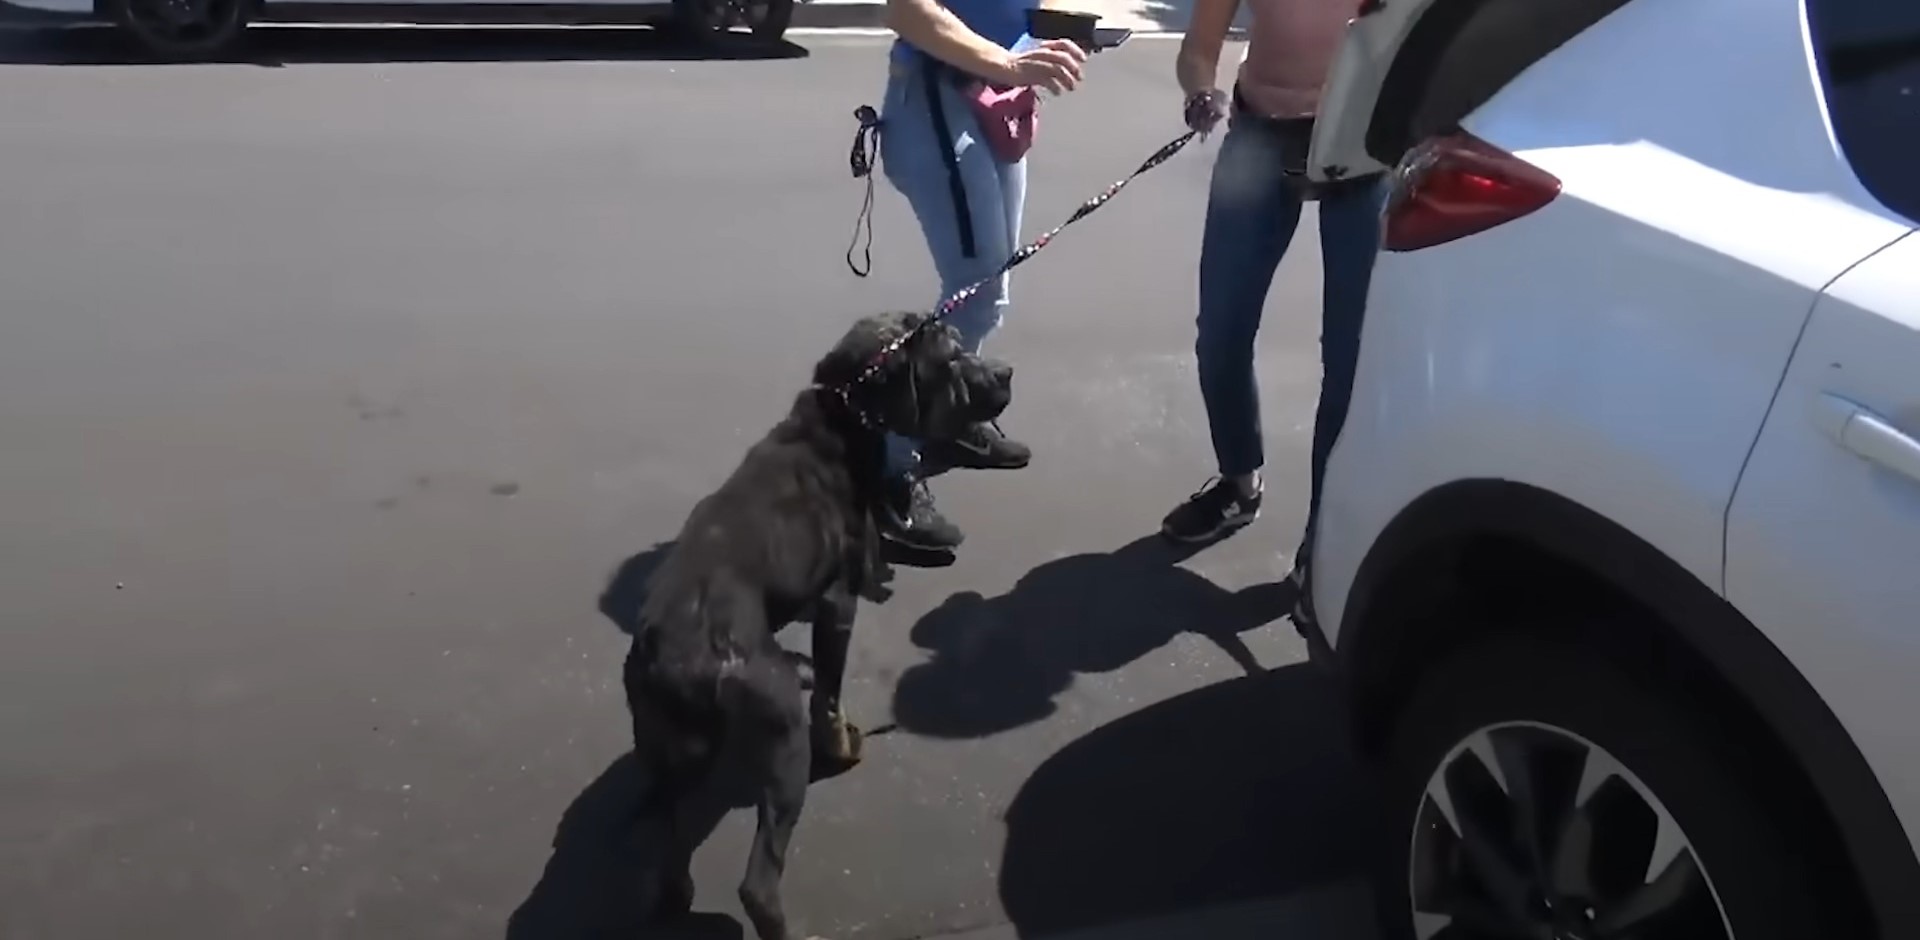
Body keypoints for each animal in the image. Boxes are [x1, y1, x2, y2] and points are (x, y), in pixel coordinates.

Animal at [606, 312, 1013, 940]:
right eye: (951, 358)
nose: (1006, 372)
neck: (844, 417)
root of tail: (676, 658)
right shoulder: (837, 604)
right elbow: (829, 692)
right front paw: (843, 741)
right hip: (781, 746)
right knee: (759, 882)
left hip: (662, 748)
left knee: (669, 835)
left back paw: (674, 894)